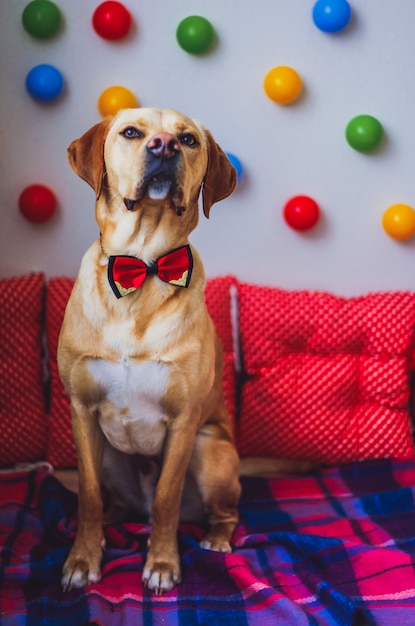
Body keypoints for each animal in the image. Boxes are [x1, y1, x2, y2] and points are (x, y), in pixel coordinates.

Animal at [58, 108, 240, 596]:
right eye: (131, 132)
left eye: (188, 139)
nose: (164, 146)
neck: (142, 267)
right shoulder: (82, 411)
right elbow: (87, 496)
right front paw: (83, 559)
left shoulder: (183, 423)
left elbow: (166, 499)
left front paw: (161, 564)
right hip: (108, 453)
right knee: (109, 500)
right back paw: (112, 521)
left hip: (210, 450)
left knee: (224, 513)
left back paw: (217, 538)